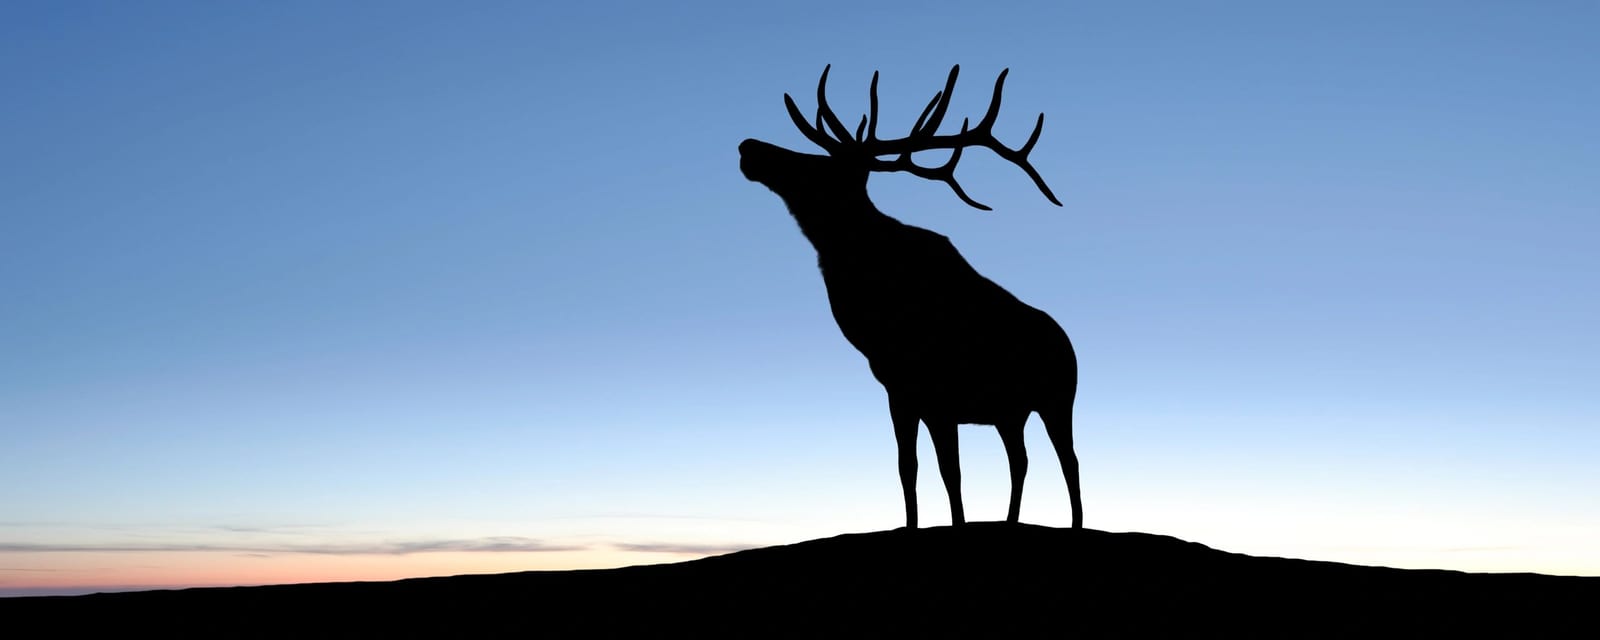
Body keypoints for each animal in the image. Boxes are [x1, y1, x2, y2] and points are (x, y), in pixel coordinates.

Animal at [738, 65, 1083, 529]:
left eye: (820, 166)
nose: (749, 146)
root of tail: (1070, 345)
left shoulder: (939, 394)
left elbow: (951, 472)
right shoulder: (898, 391)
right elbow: (908, 468)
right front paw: (912, 523)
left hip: (1057, 399)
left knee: (1069, 461)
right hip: (1009, 413)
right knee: (1021, 460)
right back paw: (1010, 521)